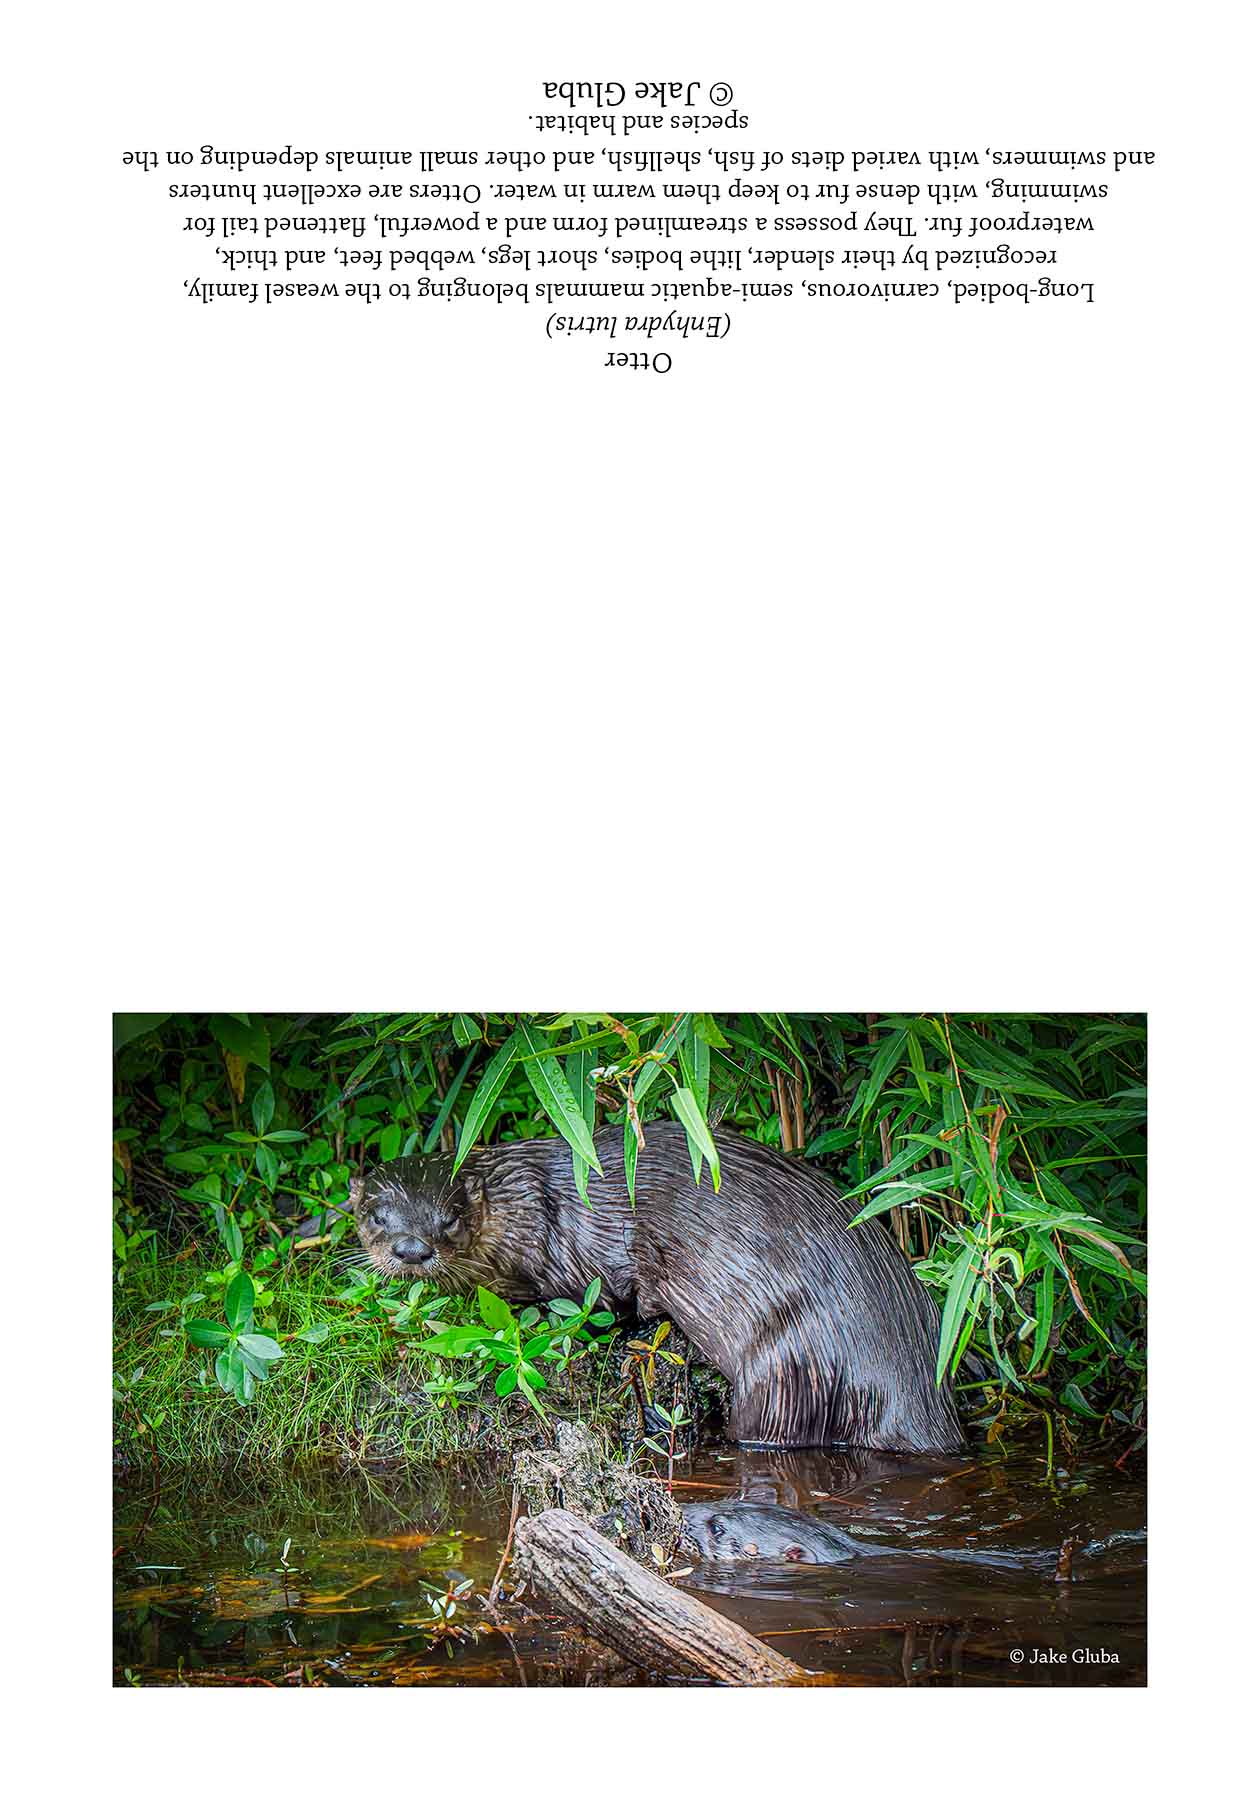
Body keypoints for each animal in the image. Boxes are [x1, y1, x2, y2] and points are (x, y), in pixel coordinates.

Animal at [352, 1122, 964, 1455]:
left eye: (450, 1217)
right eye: (377, 1215)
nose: (412, 1249)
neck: (528, 1207)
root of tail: (914, 1384)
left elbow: (609, 1299)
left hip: (788, 1370)